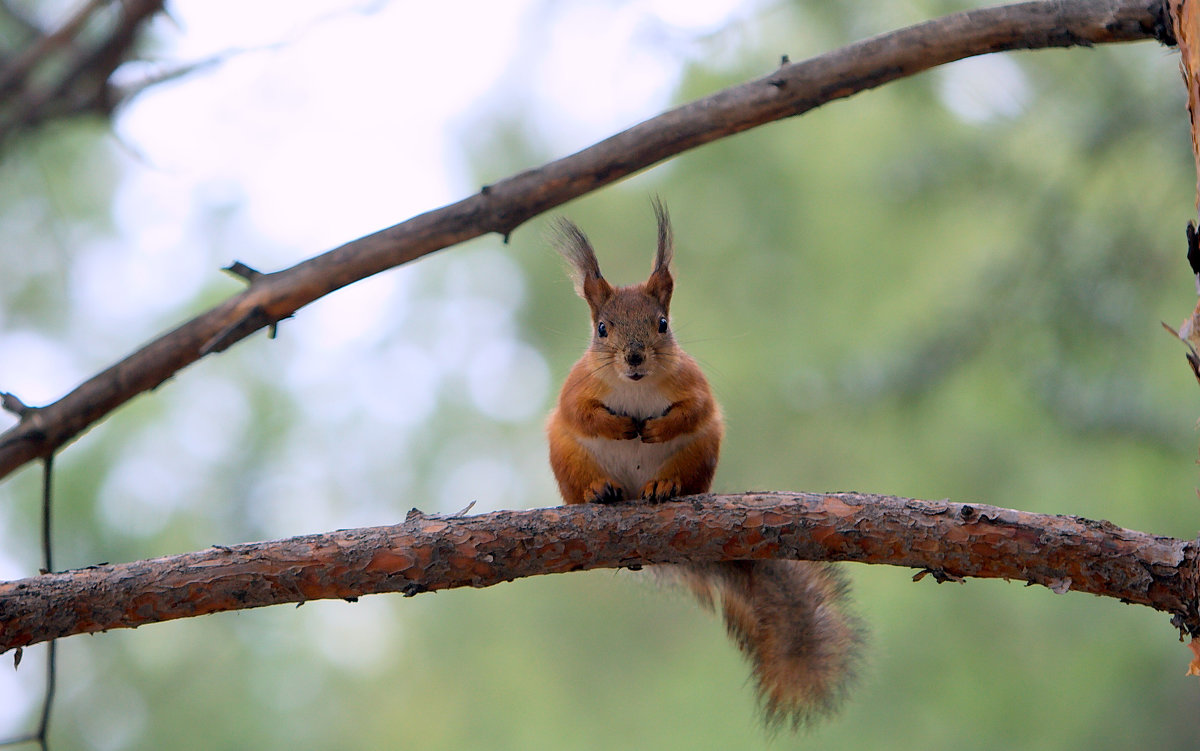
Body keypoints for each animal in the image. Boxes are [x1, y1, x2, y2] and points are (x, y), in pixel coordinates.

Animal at [544, 199, 864, 724]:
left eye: (662, 323)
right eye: (602, 328)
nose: (634, 358)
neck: (635, 389)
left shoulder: (696, 389)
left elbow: (692, 411)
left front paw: (652, 430)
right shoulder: (575, 391)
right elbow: (583, 414)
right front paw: (621, 428)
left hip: (701, 452)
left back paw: (665, 487)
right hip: (565, 456)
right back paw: (598, 491)